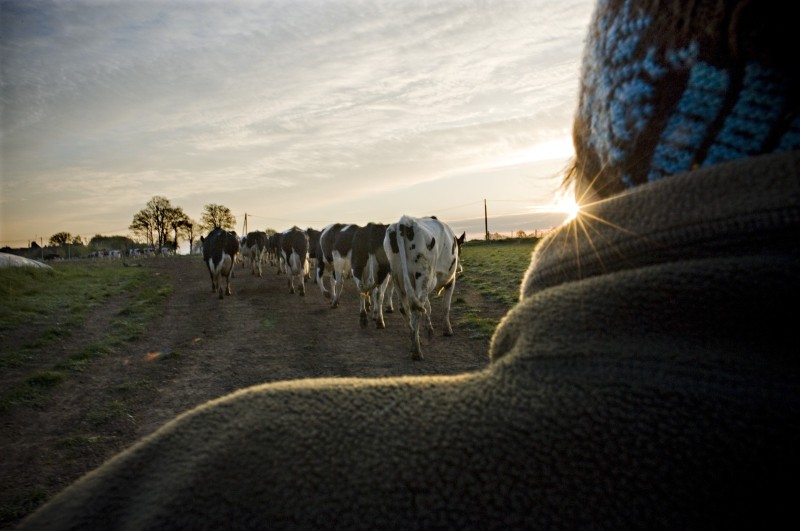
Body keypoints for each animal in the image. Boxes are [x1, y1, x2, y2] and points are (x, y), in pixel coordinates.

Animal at [384, 216, 466, 362]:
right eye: (460, 250)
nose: (460, 269)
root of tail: (405, 221)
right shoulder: (450, 281)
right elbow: (445, 307)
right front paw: (447, 330)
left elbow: (427, 307)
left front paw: (429, 329)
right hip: (423, 276)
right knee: (416, 309)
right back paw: (417, 351)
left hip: (397, 278)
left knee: (405, 308)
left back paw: (415, 340)